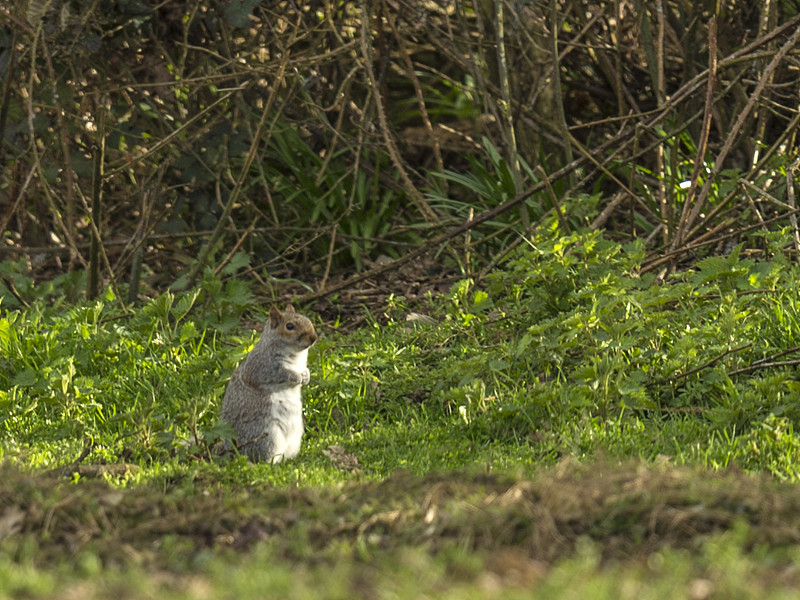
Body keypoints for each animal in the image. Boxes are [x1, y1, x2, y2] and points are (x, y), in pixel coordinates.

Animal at [222, 304, 318, 464]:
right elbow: (280, 374)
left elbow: (305, 371)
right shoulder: (261, 367)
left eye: (307, 319)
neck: (296, 355)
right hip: (266, 436)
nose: (313, 338)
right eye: (289, 326)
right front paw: (296, 377)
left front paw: (306, 376)